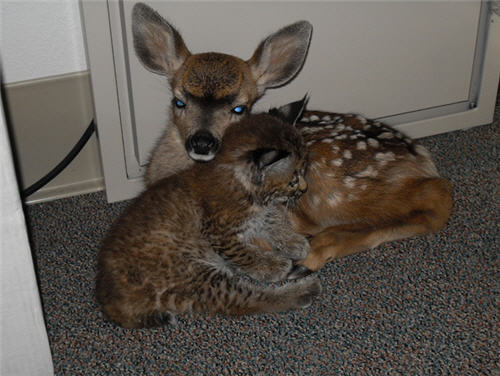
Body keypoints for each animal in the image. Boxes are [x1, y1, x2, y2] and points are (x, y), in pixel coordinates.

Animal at [95, 113, 320, 328]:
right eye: (293, 179)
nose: (305, 189)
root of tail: (106, 295)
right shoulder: (218, 232)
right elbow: (244, 253)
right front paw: (270, 264)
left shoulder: (257, 214)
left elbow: (269, 220)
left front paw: (293, 242)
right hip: (193, 274)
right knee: (245, 301)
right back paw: (304, 289)